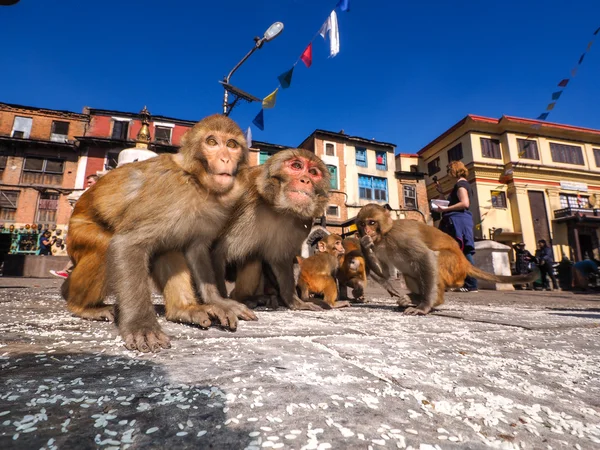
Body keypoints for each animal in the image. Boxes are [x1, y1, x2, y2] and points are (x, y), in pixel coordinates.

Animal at [62, 113, 255, 352]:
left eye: (232, 145)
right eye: (212, 142)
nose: (226, 159)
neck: (196, 183)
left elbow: (196, 250)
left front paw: (217, 301)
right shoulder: (168, 193)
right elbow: (127, 243)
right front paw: (141, 325)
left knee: (168, 248)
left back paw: (183, 310)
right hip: (78, 233)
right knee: (104, 246)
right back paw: (81, 306)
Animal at [356, 202, 540, 314]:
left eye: (371, 222)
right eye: (362, 224)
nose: (366, 231)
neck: (385, 236)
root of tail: (465, 262)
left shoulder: (400, 236)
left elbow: (426, 256)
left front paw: (424, 307)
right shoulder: (378, 247)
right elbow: (385, 273)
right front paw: (364, 244)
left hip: (454, 268)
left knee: (435, 260)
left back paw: (432, 300)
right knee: (410, 273)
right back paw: (415, 297)